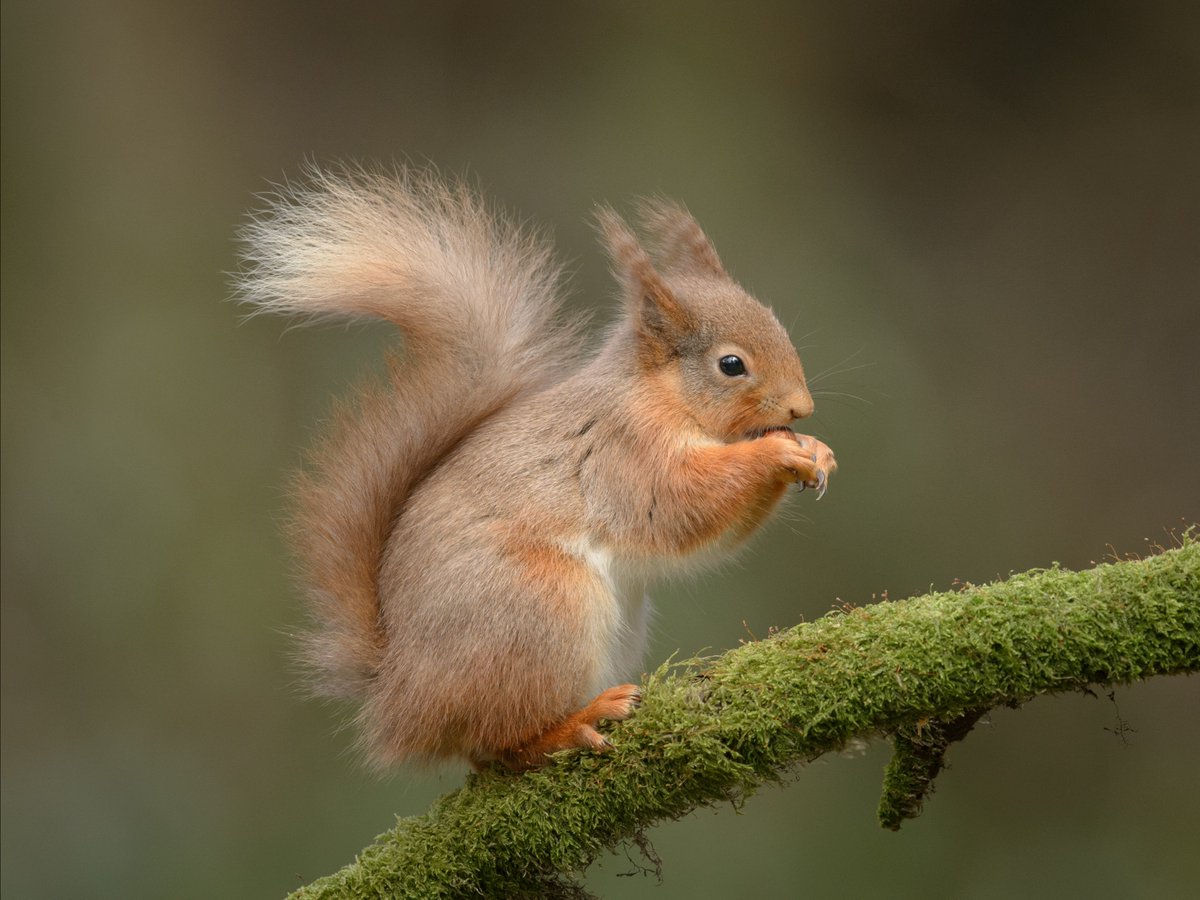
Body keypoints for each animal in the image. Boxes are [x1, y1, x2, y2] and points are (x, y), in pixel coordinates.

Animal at [234, 165, 835, 772]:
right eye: (731, 365)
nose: (801, 408)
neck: (659, 396)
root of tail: (399, 697)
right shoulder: (624, 454)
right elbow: (680, 506)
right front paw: (775, 453)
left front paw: (816, 450)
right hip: (542, 610)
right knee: (507, 743)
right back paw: (576, 724)